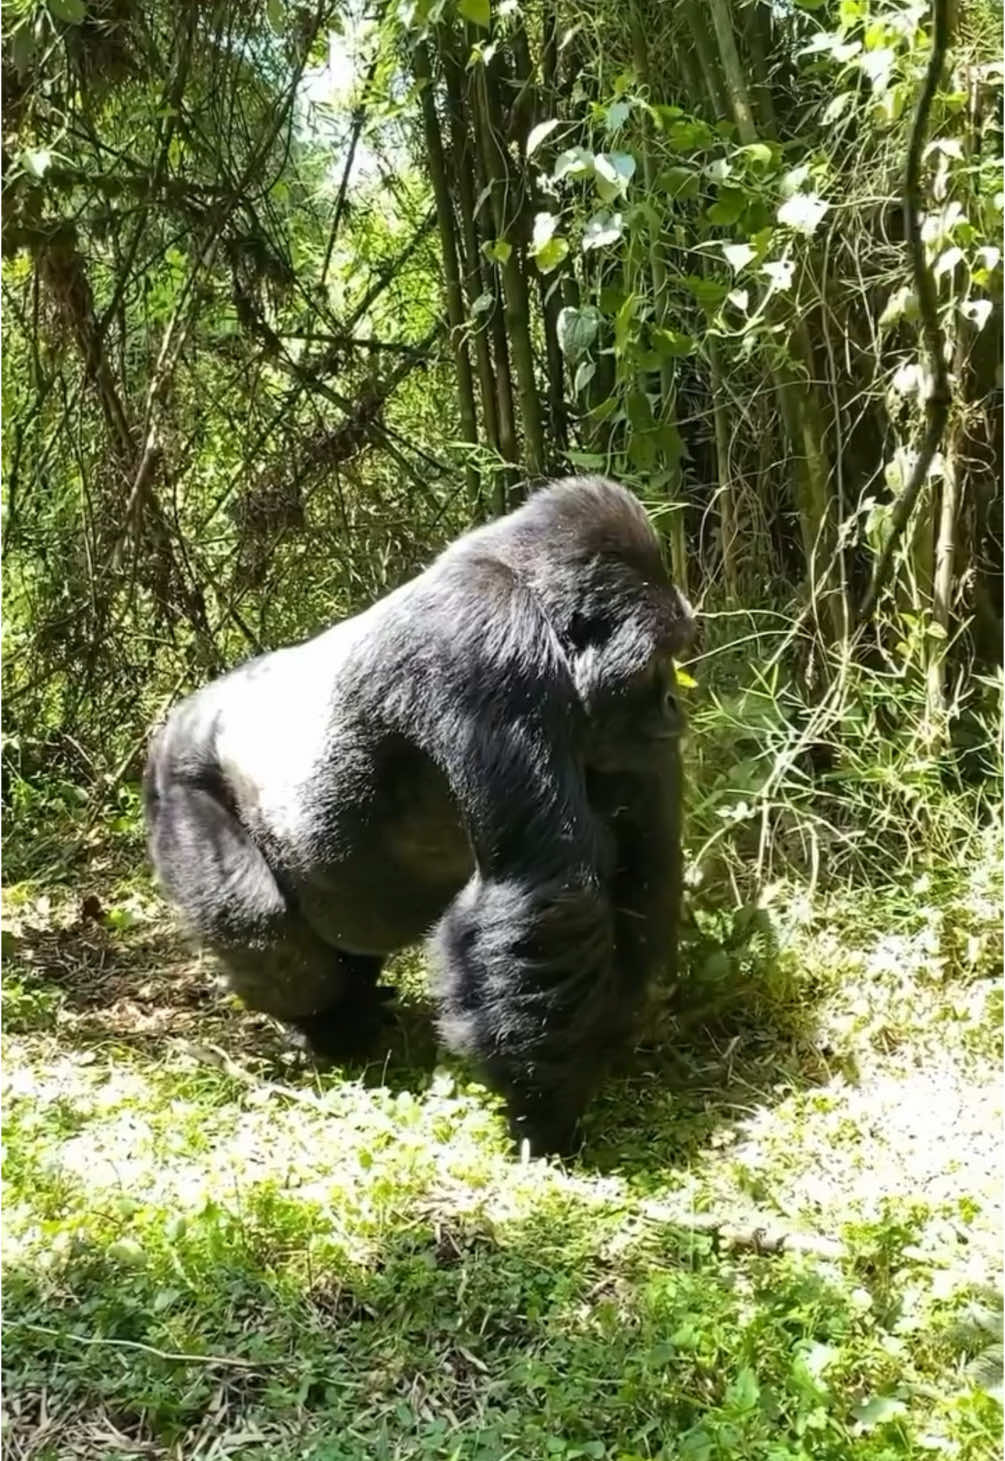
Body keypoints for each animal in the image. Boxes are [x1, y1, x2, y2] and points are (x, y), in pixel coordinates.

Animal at [145, 476, 695, 1151]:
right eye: (658, 657)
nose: (674, 705)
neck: (538, 600)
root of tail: (179, 716)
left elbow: (643, 862)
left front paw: (604, 1041)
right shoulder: (487, 643)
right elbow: (550, 883)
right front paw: (547, 1110)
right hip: (179, 782)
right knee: (268, 935)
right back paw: (329, 1024)